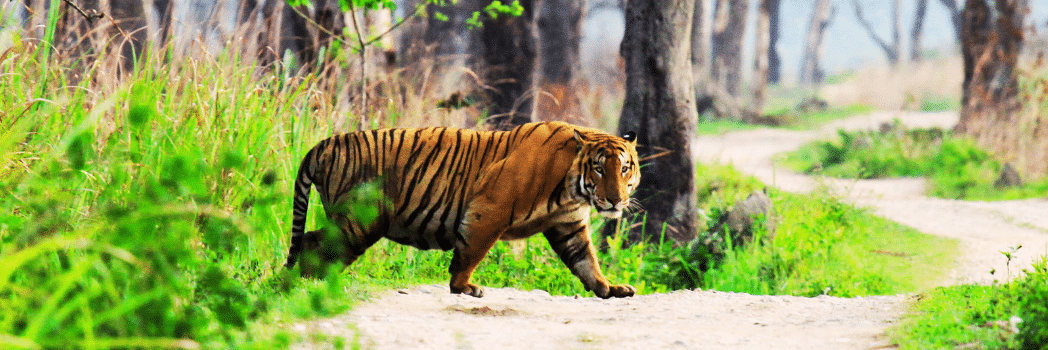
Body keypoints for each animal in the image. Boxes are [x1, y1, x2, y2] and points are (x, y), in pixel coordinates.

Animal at [287, 120, 641, 297]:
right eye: (600, 169)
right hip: (360, 222)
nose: (615, 200)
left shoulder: (569, 225)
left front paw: (609, 289)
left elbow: (586, 261)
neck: (573, 190)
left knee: (312, 243)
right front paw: (463, 287)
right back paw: (304, 287)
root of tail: (324, 145)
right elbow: (470, 252)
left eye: (625, 169)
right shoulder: (489, 209)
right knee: (313, 244)